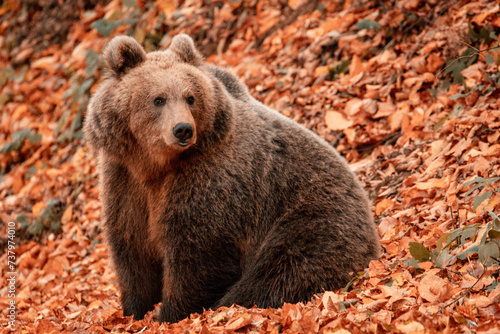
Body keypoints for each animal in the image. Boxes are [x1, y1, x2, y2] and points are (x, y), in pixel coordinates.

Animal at [84, 34, 378, 324]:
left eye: (190, 97)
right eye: (158, 99)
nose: (183, 129)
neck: (157, 165)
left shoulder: (211, 181)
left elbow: (197, 253)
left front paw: (170, 313)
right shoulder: (125, 181)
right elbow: (132, 246)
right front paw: (135, 310)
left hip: (311, 217)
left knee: (282, 271)